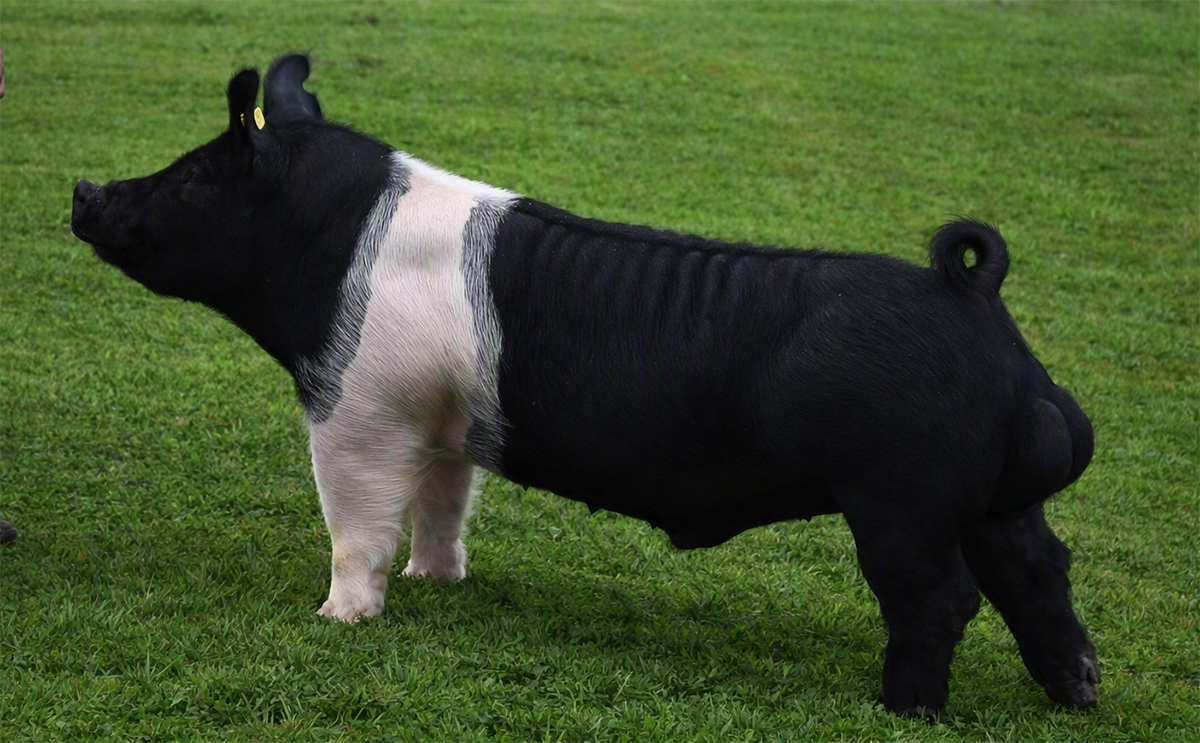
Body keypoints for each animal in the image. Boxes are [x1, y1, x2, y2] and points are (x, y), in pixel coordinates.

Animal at [70, 54, 1099, 715]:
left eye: (195, 178)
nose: (85, 189)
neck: (327, 239)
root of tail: (970, 296)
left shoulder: (358, 405)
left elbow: (357, 520)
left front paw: (335, 619)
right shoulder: (442, 419)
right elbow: (444, 502)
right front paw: (437, 581)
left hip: (901, 493)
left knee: (941, 595)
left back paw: (904, 709)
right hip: (991, 496)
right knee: (1038, 567)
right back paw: (1080, 692)